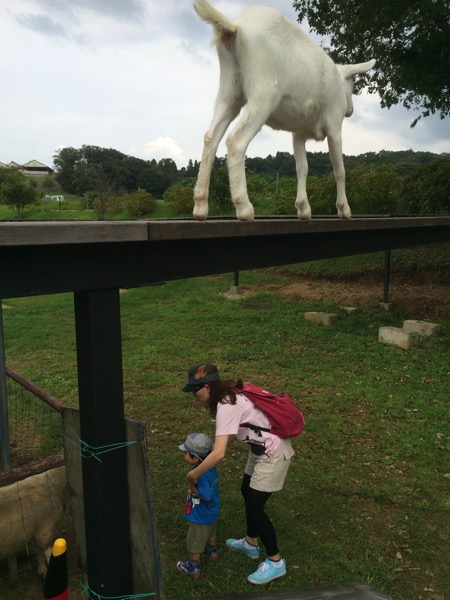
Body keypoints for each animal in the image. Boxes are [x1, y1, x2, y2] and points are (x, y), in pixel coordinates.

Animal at [193, 0, 376, 220]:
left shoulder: (298, 132)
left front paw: (303, 209)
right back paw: (244, 208)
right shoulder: (334, 125)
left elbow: (302, 167)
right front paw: (344, 209)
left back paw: (200, 206)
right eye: (353, 84)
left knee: (211, 137)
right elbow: (339, 169)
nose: (351, 110)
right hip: (263, 92)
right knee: (236, 140)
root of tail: (237, 27)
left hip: (229, 91)